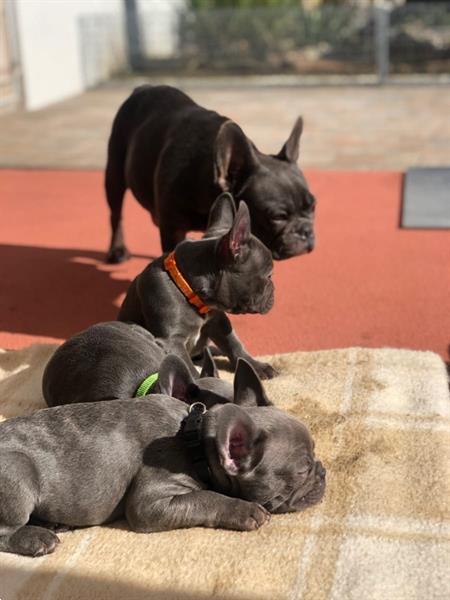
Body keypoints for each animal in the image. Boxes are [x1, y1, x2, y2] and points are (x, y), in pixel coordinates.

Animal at [0, 356, 326, 556]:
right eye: (301, 471)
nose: (322, 472)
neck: (195, 439)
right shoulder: (151, 501)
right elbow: (207, 498)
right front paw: (244, 510)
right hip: (19, 472)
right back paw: (37, 538)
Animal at [105, 84, 316, 262]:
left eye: (313, 207)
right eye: (277, 217)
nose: (306, 231)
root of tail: (142, 88)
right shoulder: (173, 230)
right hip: (114, 176)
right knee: (116, 214)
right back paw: (117, 250)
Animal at [118, 193, 276, 380]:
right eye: (269, 276)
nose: (274, 290)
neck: (189, 290)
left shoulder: (218, 321)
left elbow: (233, 342)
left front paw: (255, 365)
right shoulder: (171, 341)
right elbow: (189, 369)